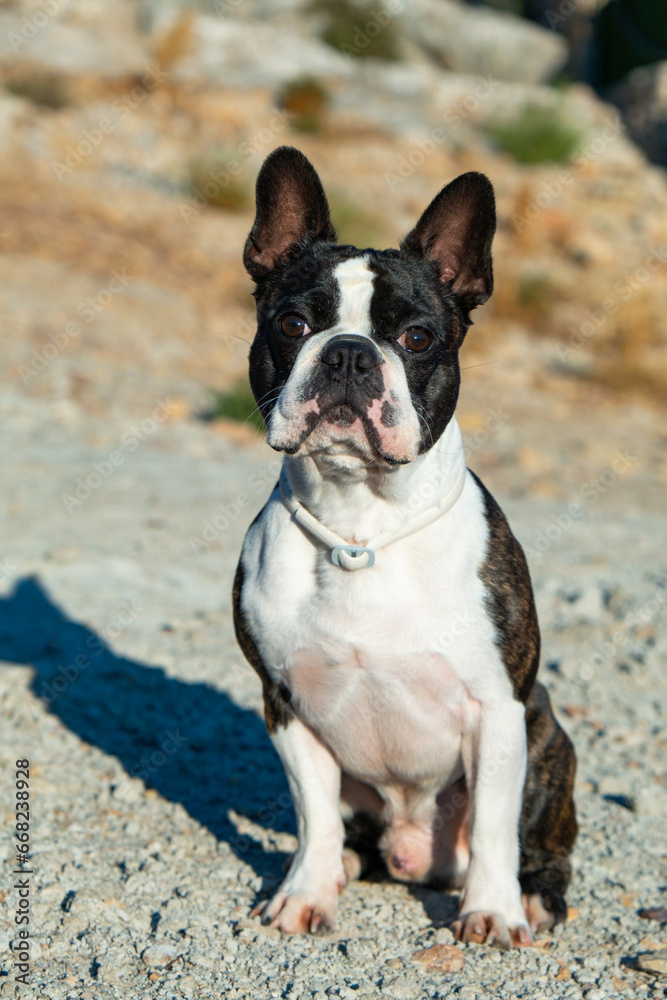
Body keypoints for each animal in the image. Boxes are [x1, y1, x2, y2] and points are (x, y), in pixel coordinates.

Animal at [232, 145, 576, 948]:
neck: (363, 526)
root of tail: (420, 856)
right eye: (292, 323)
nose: (348, 354)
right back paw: (342, 869)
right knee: (348, 834)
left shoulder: (498, 711)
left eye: (417, 338)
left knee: (536, 842)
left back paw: (531, 898)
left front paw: (491, 912)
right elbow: (315, 815)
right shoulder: (285, 706)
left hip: (548, 737)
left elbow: (494, 825)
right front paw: (305, 892)